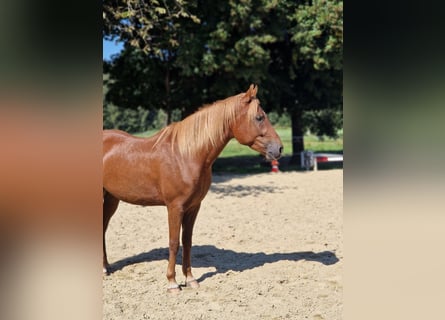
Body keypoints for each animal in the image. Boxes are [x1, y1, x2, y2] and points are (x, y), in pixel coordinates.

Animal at [103, 85, 280, 292]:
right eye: (259, 117)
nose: (279, 149)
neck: (185, 155)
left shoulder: (193, 207)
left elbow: (187, 242)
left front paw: (190, 279)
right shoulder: (174, 207)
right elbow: (174, 242)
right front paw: (172, 282)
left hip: (111, 199)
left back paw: (105, 268)